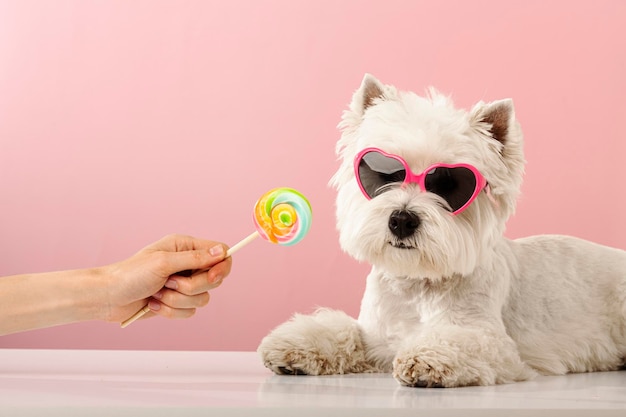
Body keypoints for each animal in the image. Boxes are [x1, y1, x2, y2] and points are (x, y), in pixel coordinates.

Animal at [255, 74, 624, 386]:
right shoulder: (375, 335)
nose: (402, 220)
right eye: (383, 173)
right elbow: (343, 331)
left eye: (448, 184)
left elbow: (455, 341)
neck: (417, 284)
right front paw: (295, 345)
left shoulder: (492, 341)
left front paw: (425, 360)